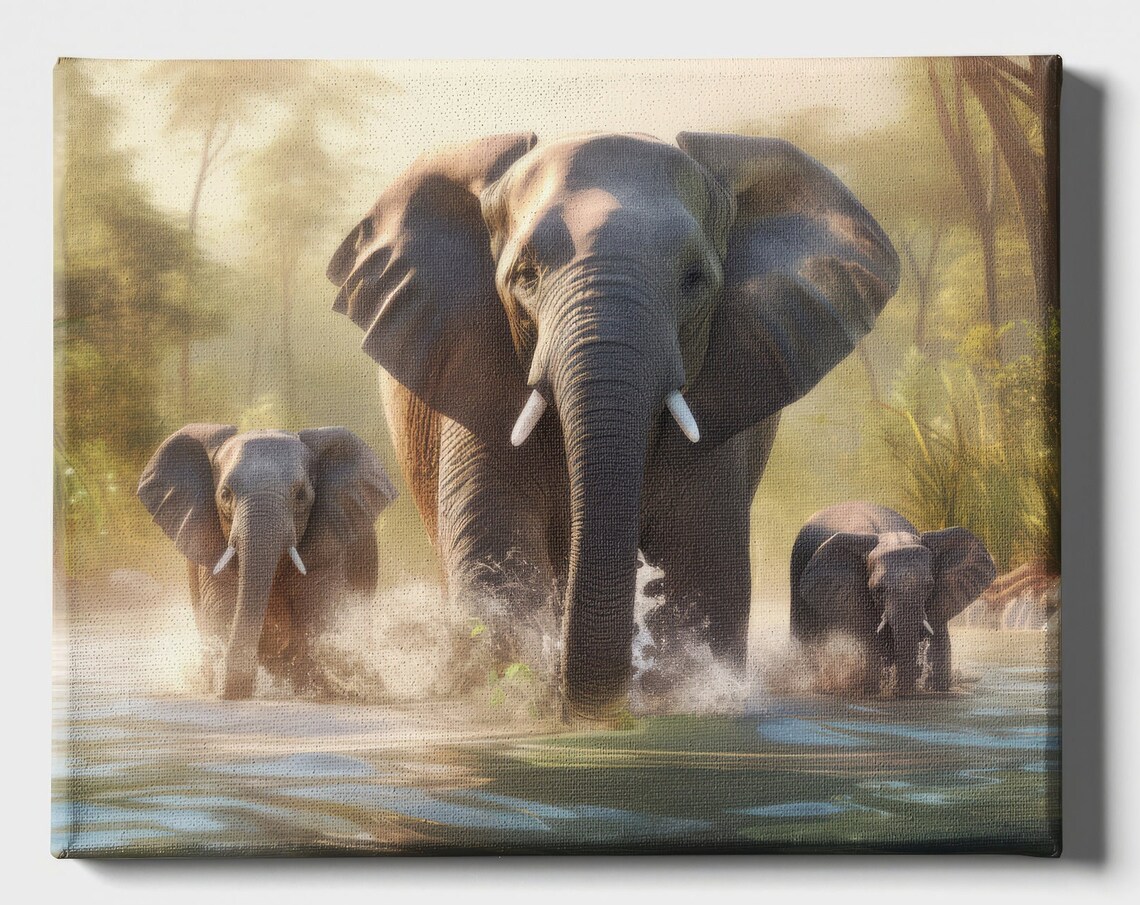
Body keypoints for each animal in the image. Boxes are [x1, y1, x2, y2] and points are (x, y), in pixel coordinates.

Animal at [138, 425, 397, 699]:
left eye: (301, 496)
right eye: (225, 494)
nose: (230, 690)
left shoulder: (330, 541)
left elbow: (320, 610)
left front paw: (315, 688)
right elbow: (223, 607)